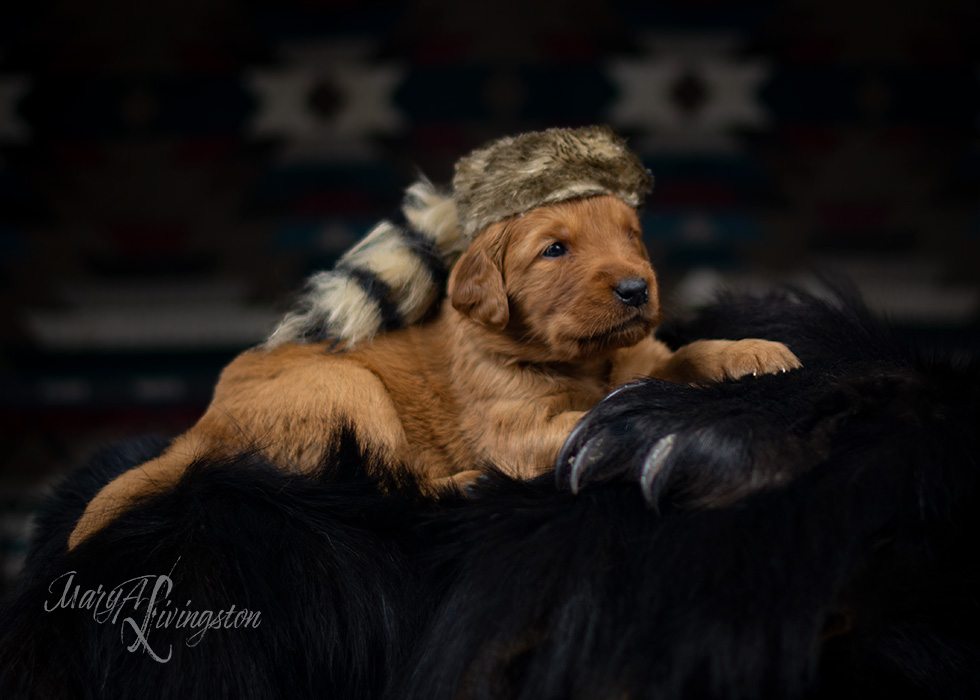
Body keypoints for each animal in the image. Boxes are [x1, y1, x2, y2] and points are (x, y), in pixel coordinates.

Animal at [69, 194, 800, 548]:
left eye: (632, 238)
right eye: (554, 250)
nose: (635, 288)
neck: (584, 359)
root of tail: (196, 432)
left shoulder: (644, 351)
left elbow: (683, 356)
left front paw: (753, 351)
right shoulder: (513, 428)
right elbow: (595, 413)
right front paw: (631, 425)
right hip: (346, 387)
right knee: (378, 482)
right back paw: (465, 486)